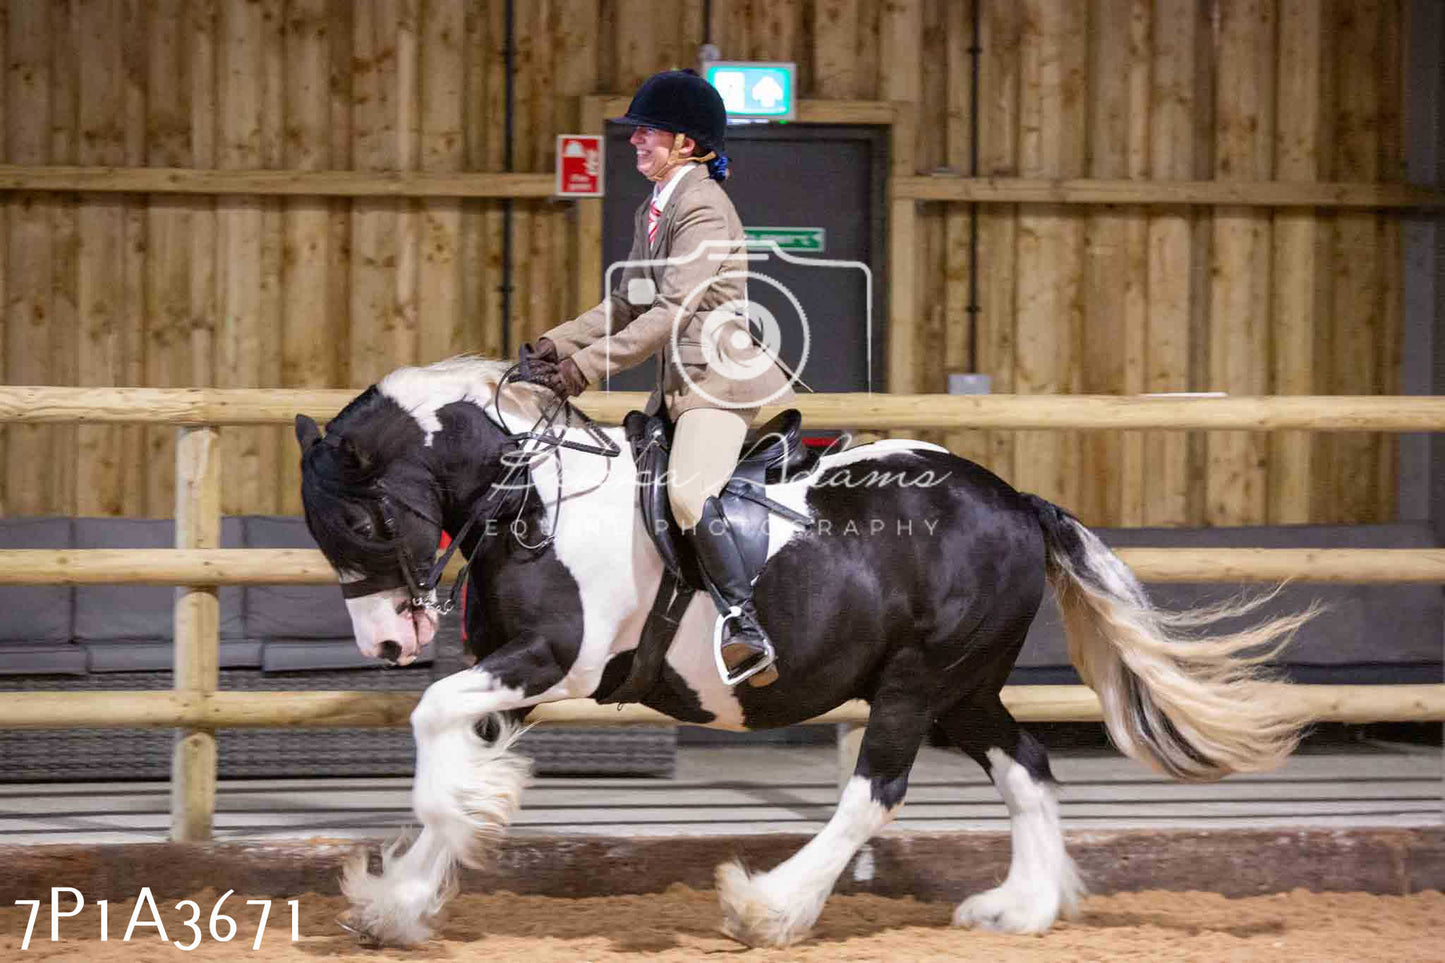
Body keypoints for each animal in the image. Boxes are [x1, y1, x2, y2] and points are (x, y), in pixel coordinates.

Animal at [293, 355, 1312, 948]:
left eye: (358, 519)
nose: (387, 638)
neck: (535, 494)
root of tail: (1016, 501)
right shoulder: (517, 674)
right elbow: (454, 760)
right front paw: (402, 900)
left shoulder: (552, 658)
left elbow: (433, 733)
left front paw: (422, 864)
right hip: (963, 687)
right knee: (1025, 764)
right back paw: (1017, 909)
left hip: (915, 681)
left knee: (875, 792)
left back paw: (769, 907)